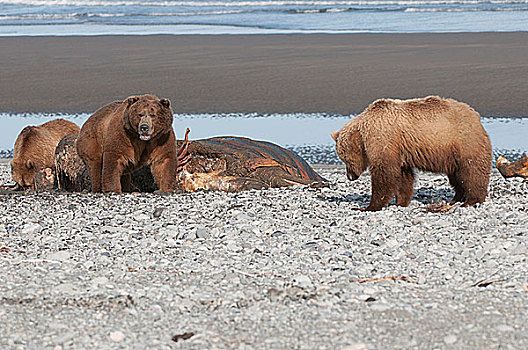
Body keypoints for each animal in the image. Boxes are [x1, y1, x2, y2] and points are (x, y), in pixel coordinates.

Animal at [332, 95, 492, 211]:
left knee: (472, 171)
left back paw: (471, 200)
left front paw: (369, 206)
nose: (350, 176)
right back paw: (456, 198)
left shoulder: (383, 139)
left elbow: (384, 174)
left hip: (464, 142)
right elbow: (403, 177)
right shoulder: (400, 150)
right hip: (453, 154)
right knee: (456, 176)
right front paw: (400, 202)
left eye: (345, 159)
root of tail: (476, 116)